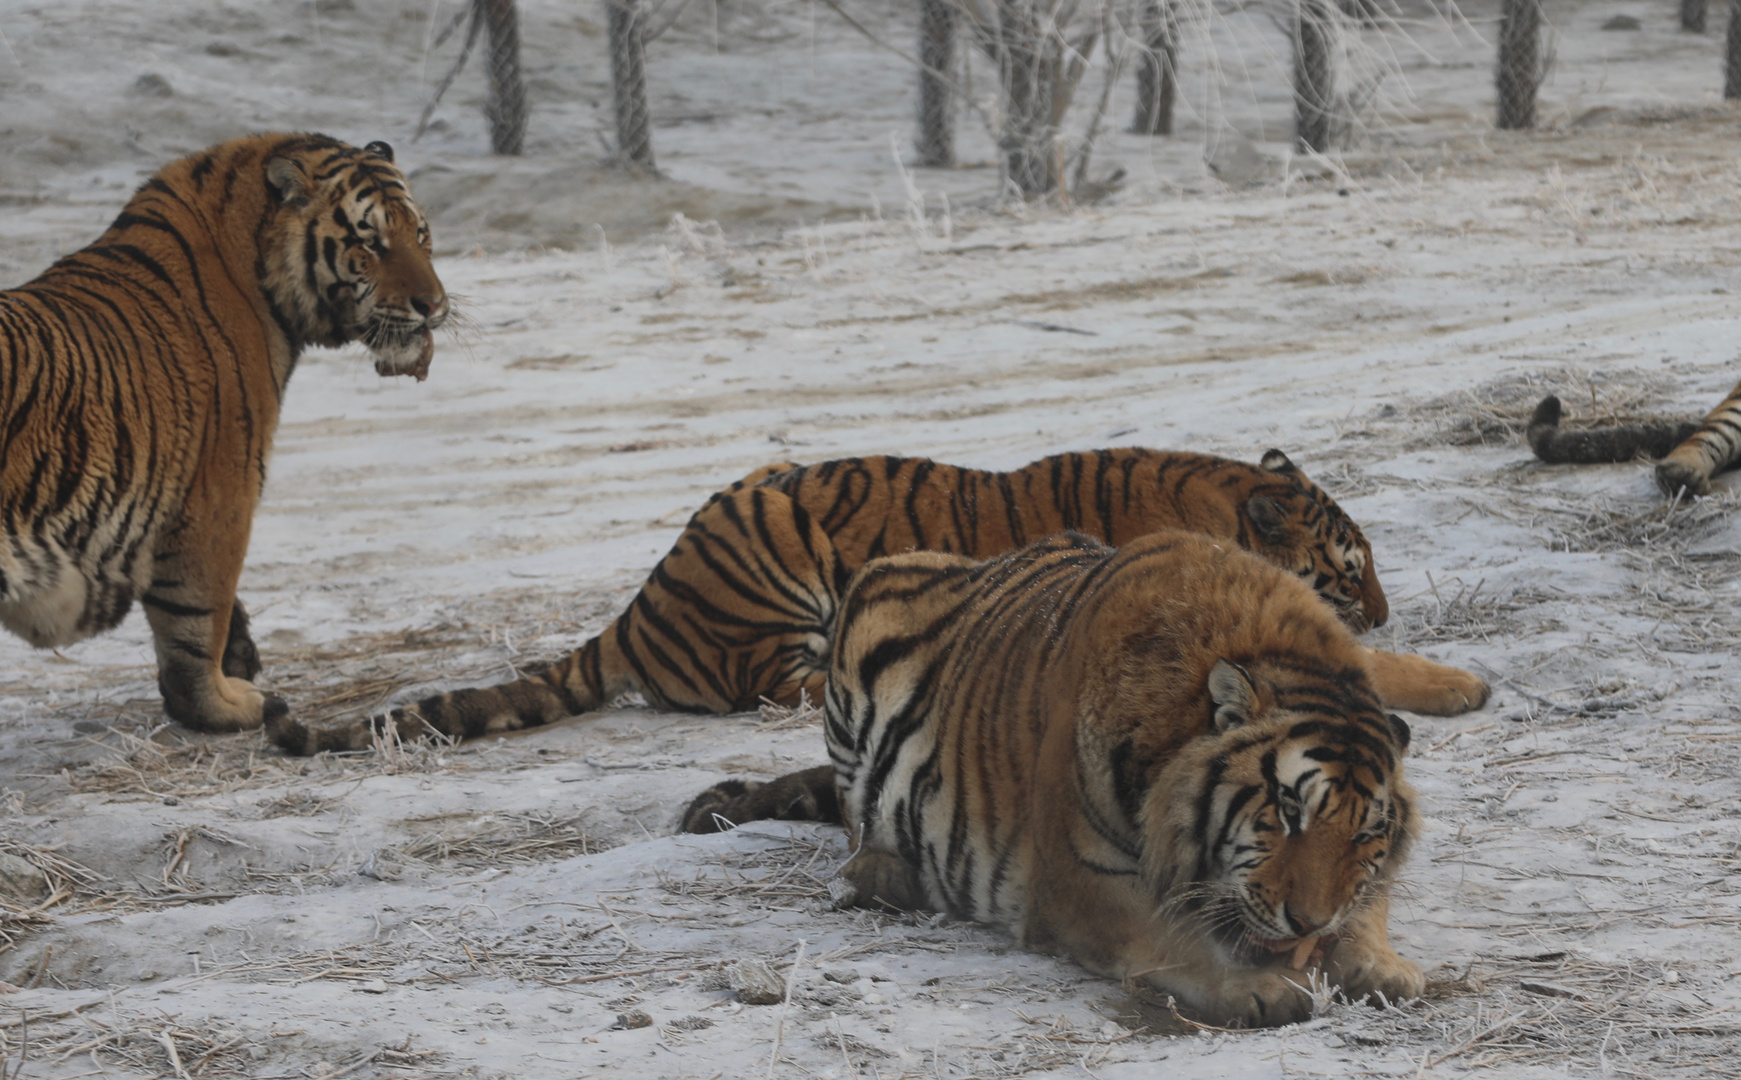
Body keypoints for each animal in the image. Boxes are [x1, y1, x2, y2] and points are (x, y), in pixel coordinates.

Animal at [1, 128, 449, 735]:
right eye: (372, 242)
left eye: (420, 235)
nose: (434, 305)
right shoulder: (219, 493)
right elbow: (197, 617)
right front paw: (223, 705)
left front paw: (239, 659)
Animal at [264, 445, 1490, 752]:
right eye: (1350, 568)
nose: (1385, 607)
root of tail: (637, 605)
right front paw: (1457, 681)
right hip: (774, 554)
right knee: (776, 687)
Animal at [675, 533, 1413, 1031]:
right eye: (1287, 811)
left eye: (1364, 833)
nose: (1307, 922)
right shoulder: (1079, 879)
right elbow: (1168, 937)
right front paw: (1257, 989)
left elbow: (1368, 905)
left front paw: (1383, 966)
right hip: (862, 645)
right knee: (861, 826)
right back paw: (884, 876)